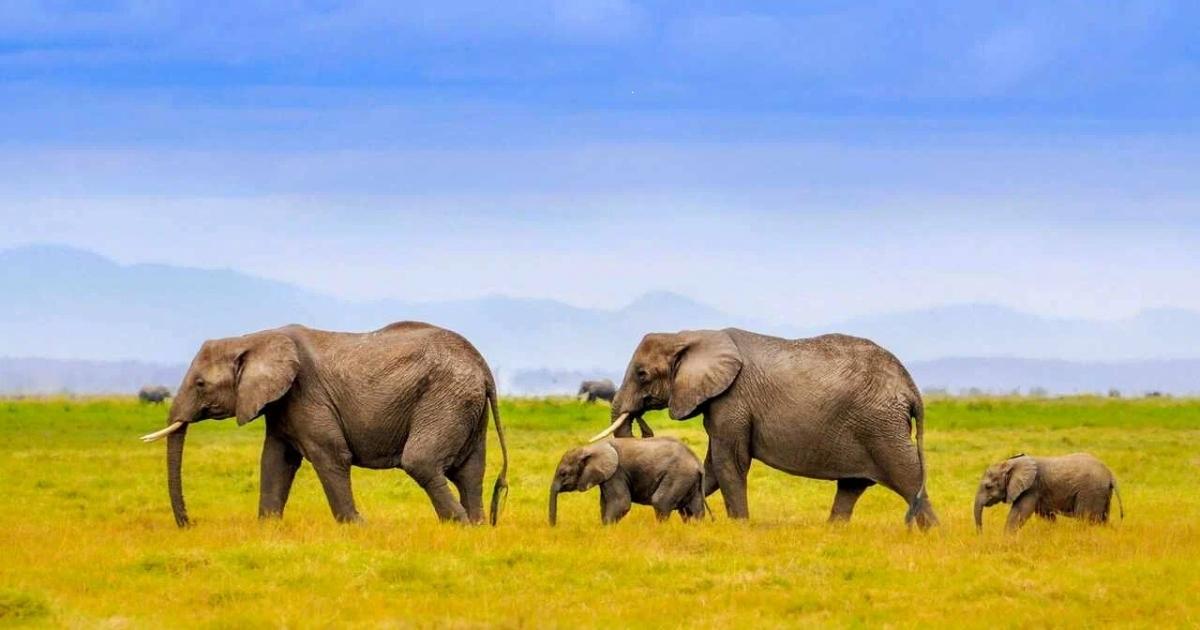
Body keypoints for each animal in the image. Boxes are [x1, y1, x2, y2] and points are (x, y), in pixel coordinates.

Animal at [139, 321, 509, 527]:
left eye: (201, 384)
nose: (188, 523)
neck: (254, 338)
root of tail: (483, 367)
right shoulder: (283, 404)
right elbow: (276, 461)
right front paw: (268, 527)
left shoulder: (307, 394)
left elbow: (330, 456)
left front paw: (356, 527)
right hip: (465, 406)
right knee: (469, 472)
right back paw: (476, 526)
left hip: (444, 397)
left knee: (422, 462)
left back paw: (459, 525)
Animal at [548, 437, 706, 525]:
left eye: (563, 473)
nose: (554, 527)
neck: (591, 447)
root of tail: (698, 464)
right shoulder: (608, 476)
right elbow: (604, 504)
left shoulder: (616, 473)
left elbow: (621, 503)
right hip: (690, 480)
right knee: (693, 509)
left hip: (678, 475)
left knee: (660, 502)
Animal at [591, 329, 938, 529]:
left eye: (642, 374)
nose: (642, 426)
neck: (690, 335)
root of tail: (910, 387)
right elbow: (711, 467)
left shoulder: (732, 400)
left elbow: (728, 462)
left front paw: (739, 527)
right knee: (852, 486)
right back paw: (833, 532)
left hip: (881, 427)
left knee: (908, 478)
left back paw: (932, 534)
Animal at [974, 453, 1123, 532]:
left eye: (988, 486)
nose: (981, 535)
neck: (1012, 463)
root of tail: (1110, 474)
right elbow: (1046, 516)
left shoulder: (1031, 488)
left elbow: (1018, 513)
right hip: (1102, 493)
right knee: (1103, 518)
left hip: (1090, 491)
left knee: (1086, 519)